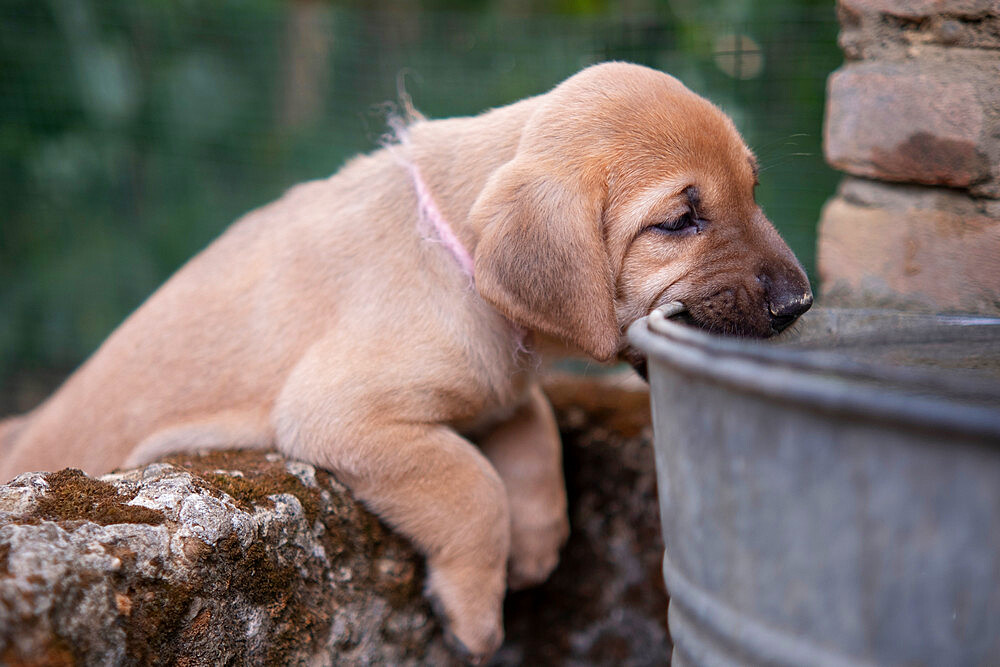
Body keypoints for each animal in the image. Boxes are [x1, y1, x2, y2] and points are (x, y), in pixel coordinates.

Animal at [0, 64, 812, 664]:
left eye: (753, 190)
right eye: (679, 220)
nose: (800, 302)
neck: (457, 264)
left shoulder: (499, 388)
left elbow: (533, 429)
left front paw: (540, 536)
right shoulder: (343, 414)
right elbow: (473, 487)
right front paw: (477, 612)